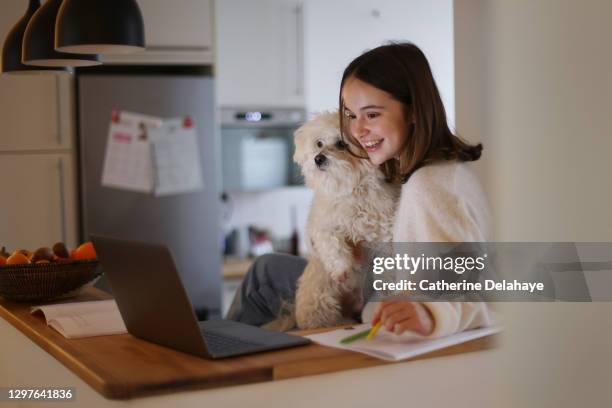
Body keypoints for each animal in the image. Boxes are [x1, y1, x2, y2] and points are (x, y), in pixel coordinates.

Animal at [292, 111, 402, 328]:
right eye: (319, 143)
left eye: (341, 144)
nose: (318, 158)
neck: (351, 189)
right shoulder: (321, 225)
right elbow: (331, 243)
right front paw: (341, 269)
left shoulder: (383, 230)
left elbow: (386, 257)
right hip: (320, 301)